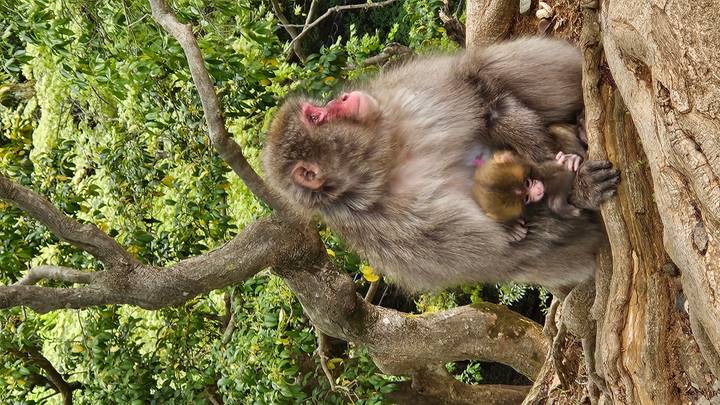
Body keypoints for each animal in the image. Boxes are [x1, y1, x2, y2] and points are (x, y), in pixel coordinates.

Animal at [263, 37, 620, 294]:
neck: (382, 164)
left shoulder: (402, 98)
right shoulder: (398, 232)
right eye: (316, 115)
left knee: (484, 66)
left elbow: (479, 89)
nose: (344, 97)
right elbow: (507, 249)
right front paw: (576, 188)